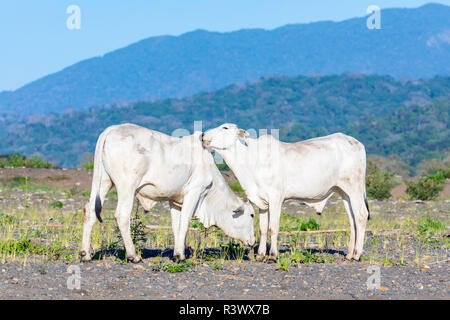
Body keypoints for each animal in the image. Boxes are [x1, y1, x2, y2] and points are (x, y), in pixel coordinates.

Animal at [81, 123, 255, 262]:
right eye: (252, 215)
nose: (253, 241)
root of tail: (112, 129)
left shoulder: (174, 200)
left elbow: (176, 225)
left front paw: (177, 253)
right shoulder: (194, 191)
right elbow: (185, 221)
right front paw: (180, 256)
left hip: (104, 181)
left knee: (90, 211)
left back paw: (85, 254)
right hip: (127, 186)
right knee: (122, 215)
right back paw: (133, 255)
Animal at [202, 124, 370, 262]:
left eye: (225, 127)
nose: (203, 135)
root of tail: (356, 143)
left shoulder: (276, 198)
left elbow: (273, 227)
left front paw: (272, 255)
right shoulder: (262, 202)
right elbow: (263, 228)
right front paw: (261, 255)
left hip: (354, 188)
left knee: (361, 216)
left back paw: (357, 255)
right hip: (344, 193)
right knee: (352, 220)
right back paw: (349, 254)